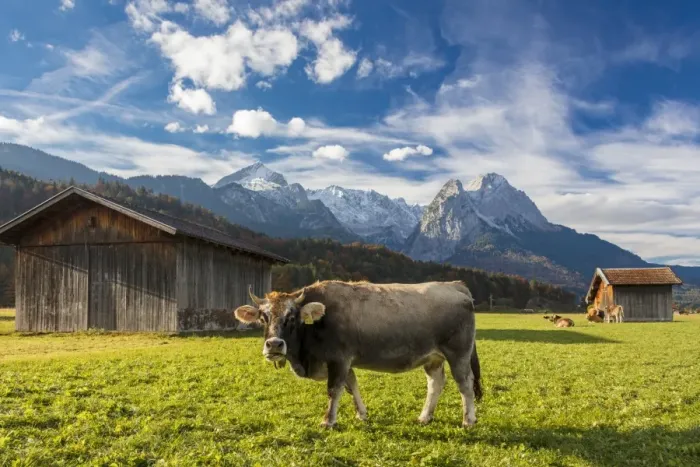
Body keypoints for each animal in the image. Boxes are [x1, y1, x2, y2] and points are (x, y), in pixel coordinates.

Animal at [233, 280, 482, 429]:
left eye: (292, 317)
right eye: (263, 317)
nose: (274, 345)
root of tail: (454, 284)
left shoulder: (339, 359)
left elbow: (334, 390)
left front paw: (328, 421)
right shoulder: (345, 362)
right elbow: (352, 385)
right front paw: (361, 414)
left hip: (458, 354)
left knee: (465, 384)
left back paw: (468, 420)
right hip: (433, 358)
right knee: (436, 383)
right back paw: (424, 417)